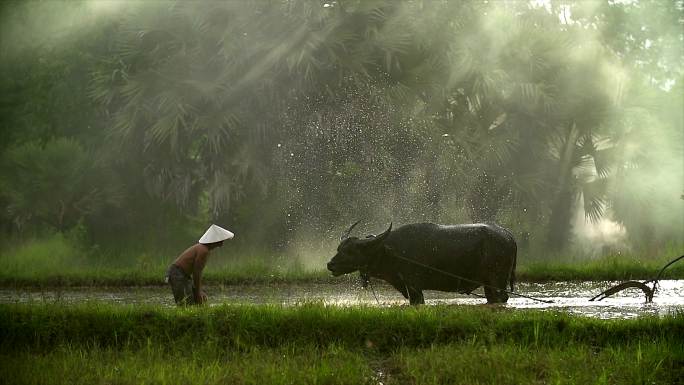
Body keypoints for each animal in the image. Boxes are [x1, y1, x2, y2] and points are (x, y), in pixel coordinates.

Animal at [328, 220, 516, 304]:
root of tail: (508, 235)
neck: (391, 250)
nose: (330, 264)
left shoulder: (414, 287)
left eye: (350, 251)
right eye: (339, 248)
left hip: (496, 281)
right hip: (489, 285)